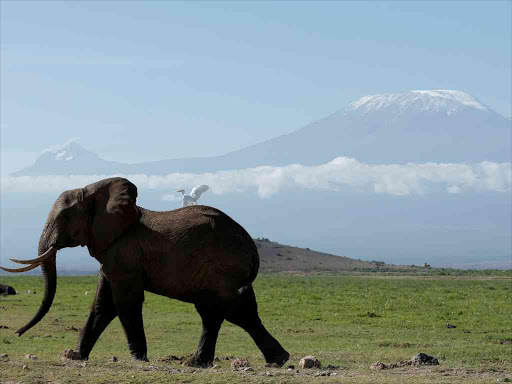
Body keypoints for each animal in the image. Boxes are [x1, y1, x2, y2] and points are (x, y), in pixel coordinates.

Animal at [0, 177, 290, 366]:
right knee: (221, 312)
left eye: (64, 217)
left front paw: (139, 358)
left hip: (223, 267)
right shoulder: (112, 252)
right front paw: (74, 356)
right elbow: (102, 304)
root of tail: (251, 247)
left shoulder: (124, 252)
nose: (17, 334)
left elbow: (123, 302)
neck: (94, 192)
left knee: (232, 310)